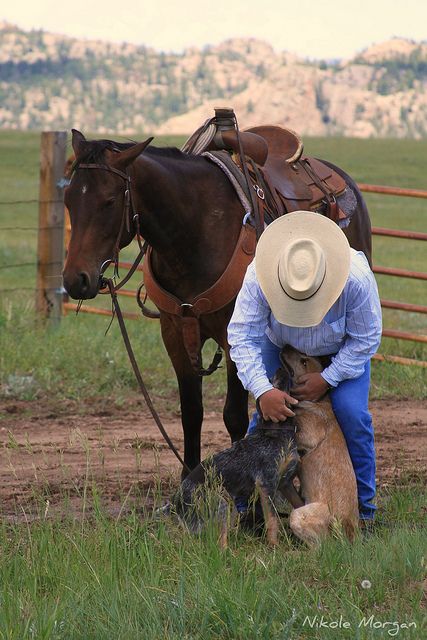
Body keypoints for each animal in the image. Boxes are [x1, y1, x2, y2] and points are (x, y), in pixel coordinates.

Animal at [62, 131, 372, 476]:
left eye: (109, 201)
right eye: (68, 199)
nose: (76, 280)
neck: (195, 233)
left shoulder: (233, 335)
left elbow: (233, 414)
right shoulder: (175, 335)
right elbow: (191, 411)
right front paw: (189, 475)